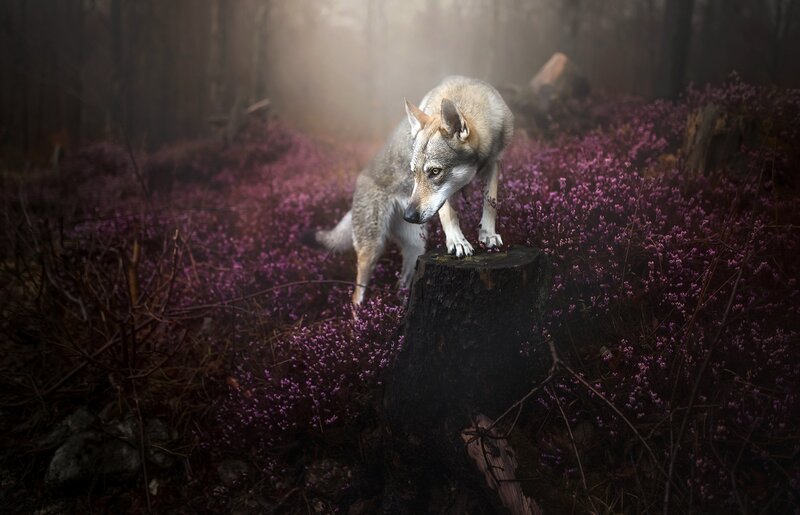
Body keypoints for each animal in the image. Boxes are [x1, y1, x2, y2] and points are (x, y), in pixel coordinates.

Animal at [304, 75, 514, 305]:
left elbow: (491, 203)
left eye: (434, 171)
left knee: (403, 283)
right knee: (356, 295)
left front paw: (488, 234)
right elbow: (449, 214)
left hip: (416, 248)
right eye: (413, 173)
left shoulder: (494, 163)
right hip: (373, 249)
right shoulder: (446, 197)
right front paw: (457, 242)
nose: (409, 216)